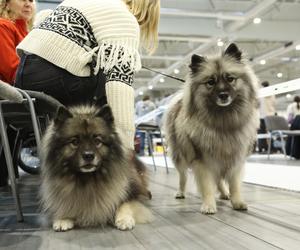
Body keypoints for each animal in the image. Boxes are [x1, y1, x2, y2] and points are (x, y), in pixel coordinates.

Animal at [165, 43, 258, 215]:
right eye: (210, 82)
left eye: (230, 79)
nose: (223, 95)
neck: (223, 121)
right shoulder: (203, 159)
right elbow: (207, 185)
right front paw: (208, 205)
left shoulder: (234, 157)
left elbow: (234, 184)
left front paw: (237, 201)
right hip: (180, 155)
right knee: (183, 177)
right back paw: (181, 192)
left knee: (219, 179)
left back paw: (224, 193)